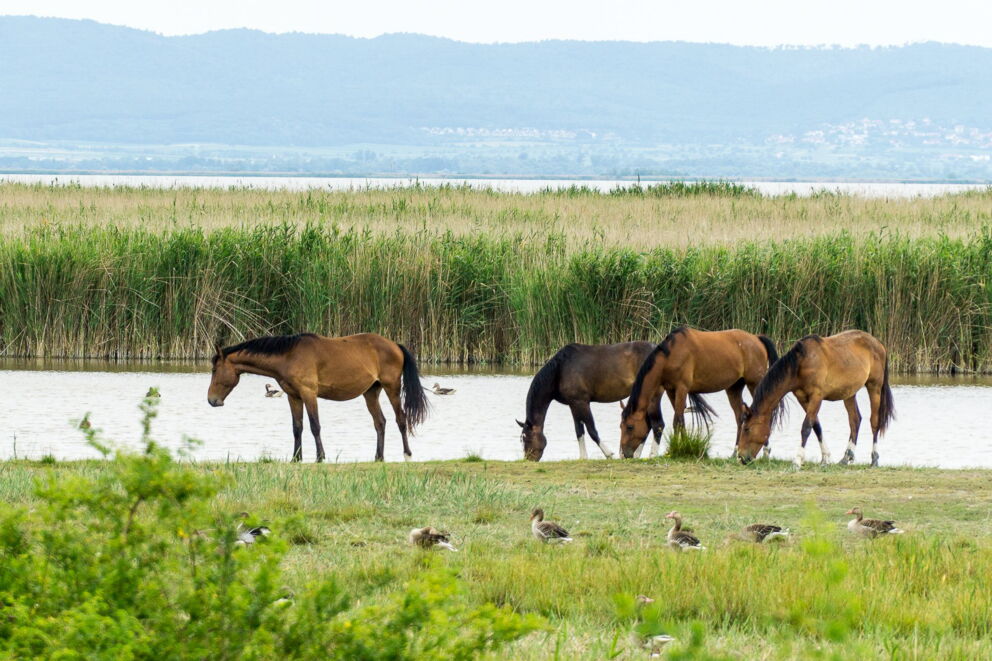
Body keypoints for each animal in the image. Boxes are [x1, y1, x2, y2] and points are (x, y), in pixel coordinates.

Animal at [207, 333, 429, 463]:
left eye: (214, 369)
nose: (212, 400)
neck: (288, 356)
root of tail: (395, 345)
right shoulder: (293, 396)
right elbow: (297, 427)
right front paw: (296, 458)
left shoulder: (309, 394)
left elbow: (315, 426)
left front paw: (320, 457)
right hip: (371, 392)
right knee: (380, 422)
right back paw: (378, 456)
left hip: (392, 388)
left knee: (401, 419)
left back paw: (407, 453)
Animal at [516, 342, 664, 461]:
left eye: (526, 438)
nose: (528, 459)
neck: (560, 370)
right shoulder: (573, 404)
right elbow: (579, 430)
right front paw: (583, 457)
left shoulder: (582, 403)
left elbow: (592, 430)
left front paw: (608, 454)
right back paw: (637, 454)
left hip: (652, 397)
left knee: (657, 425)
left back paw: (651, 455)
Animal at [618, 327, 780, 459]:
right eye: (621, 426)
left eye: (630, 427)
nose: (624, 454)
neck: (672, 355)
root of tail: (757, 338)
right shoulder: (671, 390)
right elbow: (681, 420)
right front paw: (683, 445)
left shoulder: (682, 388)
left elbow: (677, 420)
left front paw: (678, 448)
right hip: (734, 388)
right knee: (740, 418)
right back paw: (735, 453)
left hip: (754, 384)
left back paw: (766, 452)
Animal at [737, 330, 894, 468]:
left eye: (747, 429)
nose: (742, 457)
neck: (801, 363)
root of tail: (878, 344)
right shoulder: (802, 398)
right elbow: (816, 426)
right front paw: (825, 459)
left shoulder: (816, 397)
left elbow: (806, 427)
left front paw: (797, 461)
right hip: (849, 393)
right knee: (855, 420)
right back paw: (846, 458)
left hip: (874, 387)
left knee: (874, 422)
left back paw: (874, 459)